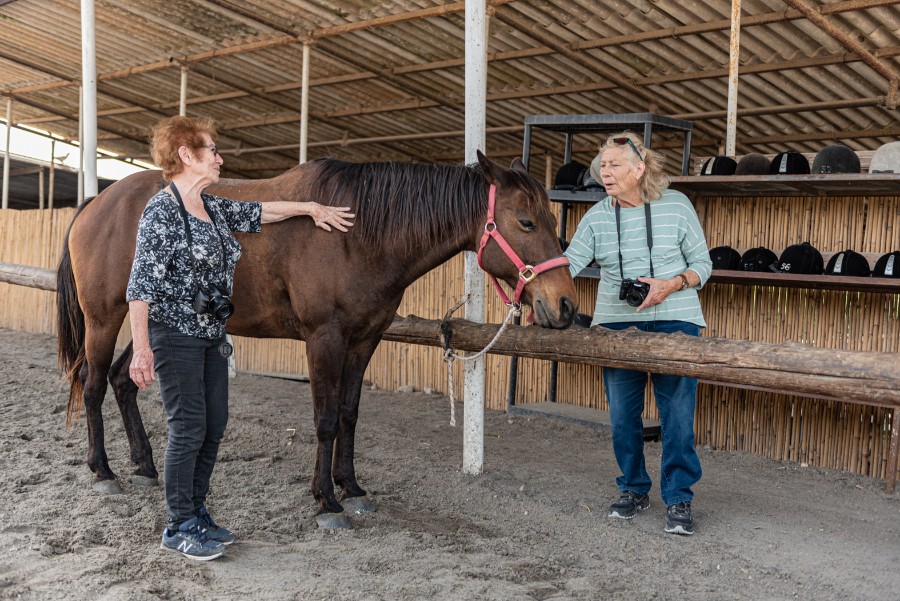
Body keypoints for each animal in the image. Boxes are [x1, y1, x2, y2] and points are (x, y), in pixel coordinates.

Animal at [58, 151, 576, 520]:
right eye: (526, 222)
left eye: (554, 222)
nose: (566, 306)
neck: (358, 233)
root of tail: (95, 203)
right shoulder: (323, 338)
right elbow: (325, 419)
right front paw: (326, 499)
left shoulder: (364, 340)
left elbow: (348, 415)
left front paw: (353, 486)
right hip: (105, 318)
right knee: (93, 383)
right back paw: (103, 470)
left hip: (150, 320)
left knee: (123, 381)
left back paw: (145, 465)